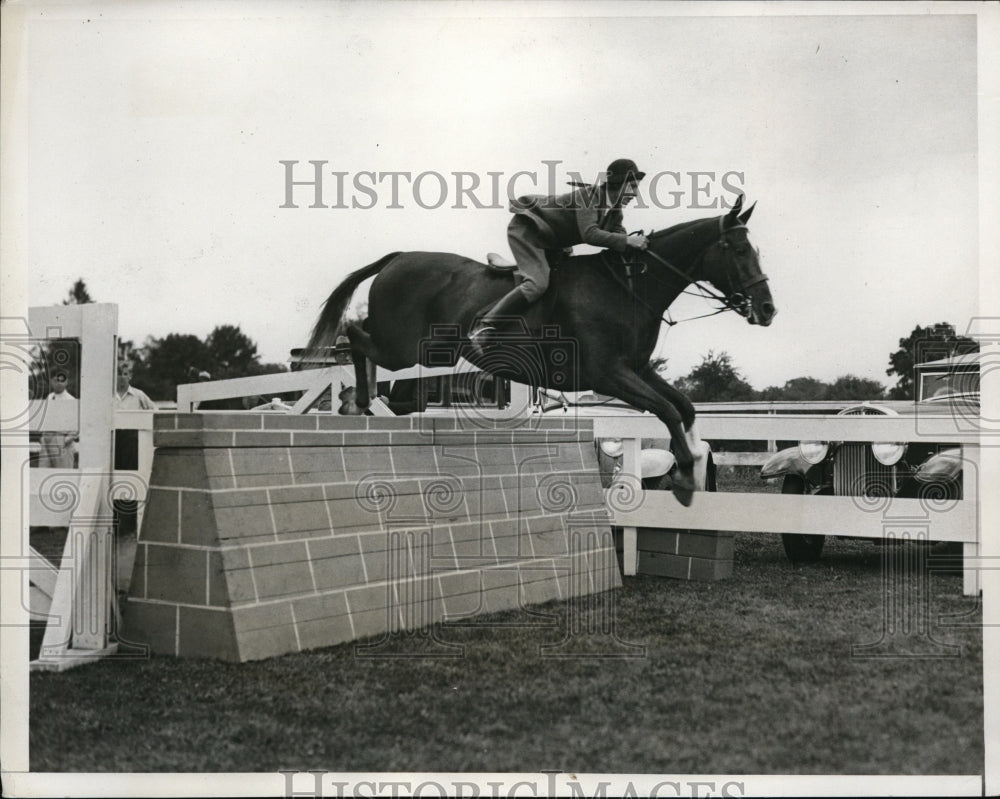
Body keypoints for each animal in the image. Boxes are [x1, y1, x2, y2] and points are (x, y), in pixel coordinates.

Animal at [308, 195, 776, 506]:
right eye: (738, 249)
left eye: (755, 249)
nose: (768, 309)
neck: (627, 288)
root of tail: (399, 257)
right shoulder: (609, 374)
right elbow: (668, 411)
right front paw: (682, 481)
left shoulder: (638, 370)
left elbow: (685, 408)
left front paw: (693, 467)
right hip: (403, 348)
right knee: (352, 333)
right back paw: (359, 402)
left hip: (419, 352)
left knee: (367, 348)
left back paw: (365, 405)